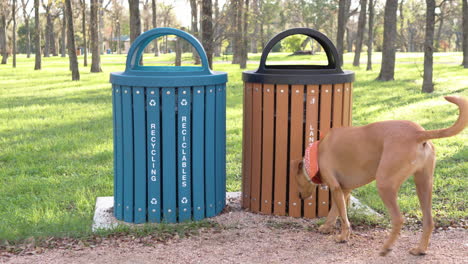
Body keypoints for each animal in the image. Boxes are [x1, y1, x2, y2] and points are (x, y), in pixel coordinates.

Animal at [294, 96, 466, 256]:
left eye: (296, 181)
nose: (300, 197)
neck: (316, 153)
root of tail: (419, 133)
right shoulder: (344, 190)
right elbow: (335, 212)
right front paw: (327, 227)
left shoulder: (335, 187)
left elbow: (343, 217)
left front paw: (343, 237)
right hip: (423, 184)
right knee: (429, 221)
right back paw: (420, 249)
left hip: (385, 184)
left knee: (398, 219)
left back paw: (386, 247)